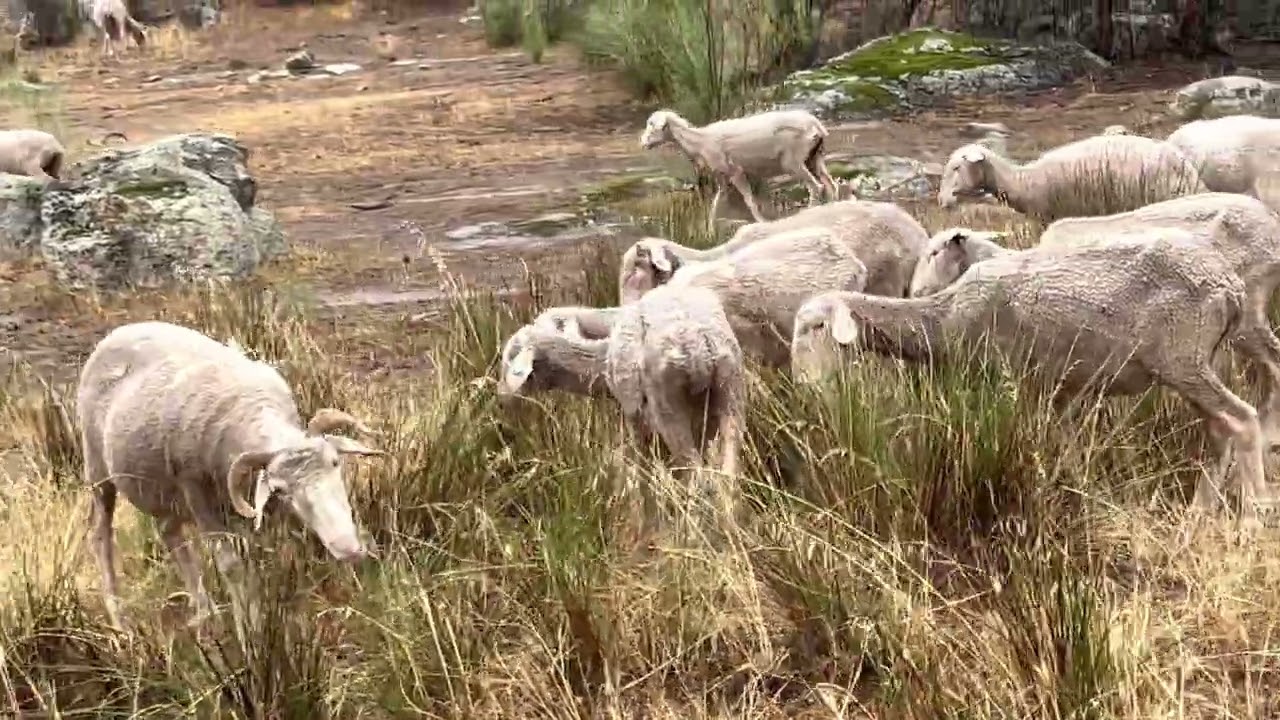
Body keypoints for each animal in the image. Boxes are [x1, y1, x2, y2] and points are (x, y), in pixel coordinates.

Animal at [76, 321, 385, 631]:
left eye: (335, 462)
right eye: (282, 489)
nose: (347, 548)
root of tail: (123, 329)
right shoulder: (195, 490)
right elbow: (231, 566)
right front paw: (250, 629)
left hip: (160, 489)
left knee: (169, 534)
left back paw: (204, 611)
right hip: (98, 470)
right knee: (101, 537)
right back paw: (120, 619)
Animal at [499, 284, 744, 476]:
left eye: (512, 357)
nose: (501, 396)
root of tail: (698, 338)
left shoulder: (634, 411)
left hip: (667, 402)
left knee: (695, 470)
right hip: (730, 388)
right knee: (728, 470)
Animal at [639, 108, 838, 233]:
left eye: (652, 125)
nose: (642, 142)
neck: (699, 141)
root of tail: (815, 124)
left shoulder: (736, 171)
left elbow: (749, 200)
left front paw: (761, 222)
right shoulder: (723, 176)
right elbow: (716, 203)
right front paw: (709, 231)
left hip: (793, 161)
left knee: (816, 187)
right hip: (814, 157)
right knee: (830, 185)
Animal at [792, 228, 1274, 524]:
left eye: (814, 327)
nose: (802, 384)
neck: (944, 317)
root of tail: (1228, 284)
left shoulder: (1006, 378)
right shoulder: (1055, 388)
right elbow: (1066, 448)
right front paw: (1078, 491)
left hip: (1184, 357)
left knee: (1244, 419)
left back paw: (1253, 516)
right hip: (1191, 362)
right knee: (1219, 430)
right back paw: (1199, 512)